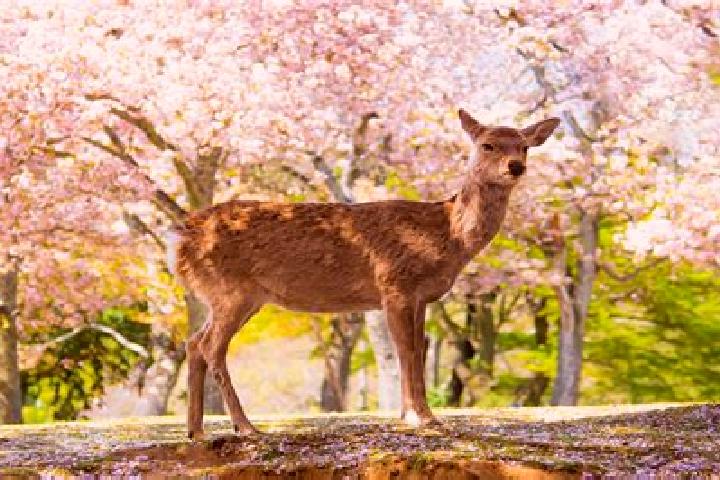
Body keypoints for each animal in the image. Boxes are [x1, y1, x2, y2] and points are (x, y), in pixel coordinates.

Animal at [167, 109, 560, 440]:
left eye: (525, 146)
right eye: (486, 144)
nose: (515, 166)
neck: (446, 236)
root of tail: (182, 236)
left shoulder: (421, 297)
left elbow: (417, 349)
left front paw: (412, 414)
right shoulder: (394, 284)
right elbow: (406, 351)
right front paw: (423, 417)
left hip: (232, 297)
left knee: (193, 342)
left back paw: (196, 432)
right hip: (231, 290)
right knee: (210, 346)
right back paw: (245, 427)